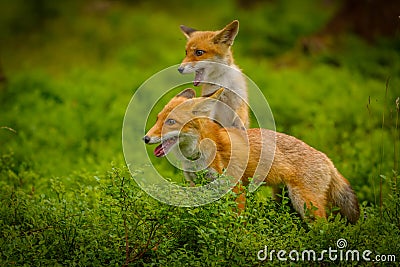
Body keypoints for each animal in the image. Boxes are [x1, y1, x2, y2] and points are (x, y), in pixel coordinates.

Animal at [145, 88, 362, 224]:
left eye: (171, 121)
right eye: (157, 119)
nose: (145, 138)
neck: (196, 155)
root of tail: (328, 159)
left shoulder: (235, 189)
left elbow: (236, 222)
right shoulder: (194, 186)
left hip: (305, 205)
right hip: (284, 200)